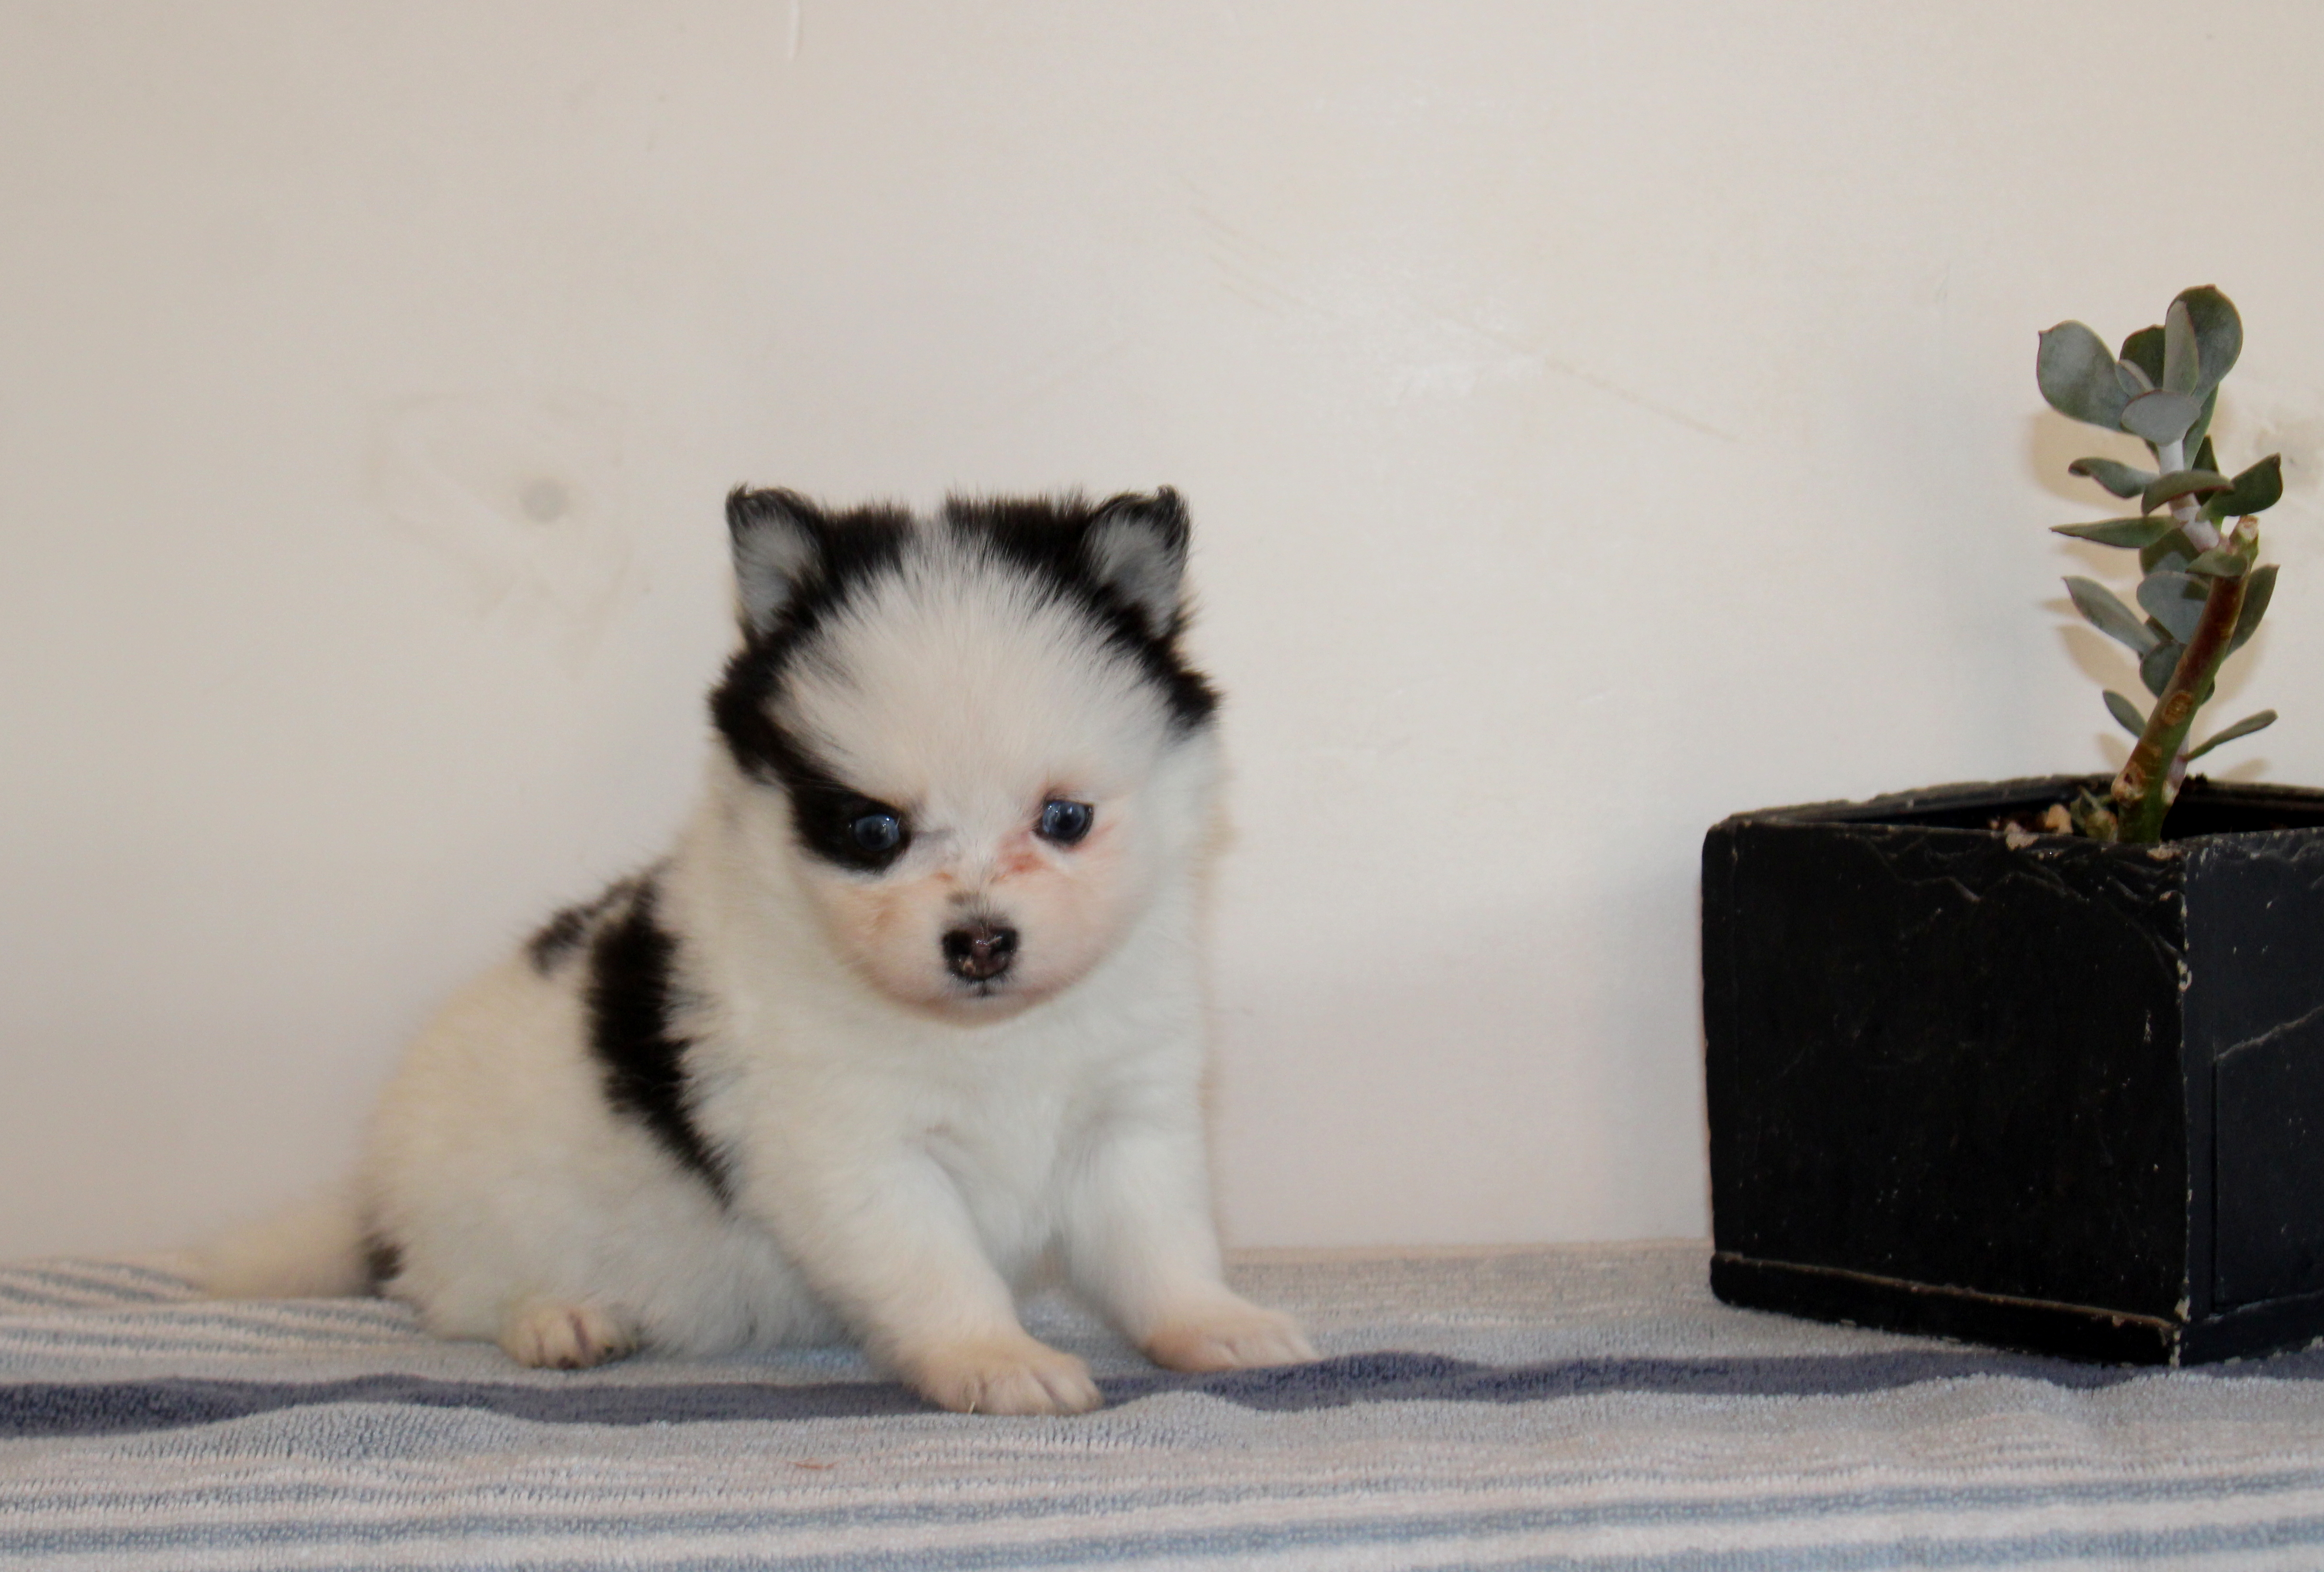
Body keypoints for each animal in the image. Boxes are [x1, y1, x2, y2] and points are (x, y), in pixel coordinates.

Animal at [207, 488, 1320, 1414]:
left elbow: (1161, 1241)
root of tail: (375, 1204)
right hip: (475, 1212)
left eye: (1065, 819)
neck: (988, 1033)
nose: (979, 941)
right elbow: (935, 1265)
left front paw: (1211, 1324)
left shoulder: (1129, 1113)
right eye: (871, 831)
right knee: (458, 1294)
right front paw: (993, 1356)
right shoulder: (849, 1147)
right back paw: (559, 1316)